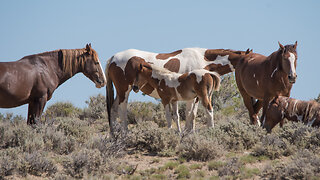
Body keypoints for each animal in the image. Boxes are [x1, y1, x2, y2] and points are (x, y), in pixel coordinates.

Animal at [106, 47, 251, 134]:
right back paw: (125, 132)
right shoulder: (191, 97)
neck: (202, 60)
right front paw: (186, 131)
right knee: (122, 109)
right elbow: (188, 113)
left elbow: (191, 114)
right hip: (124, 90)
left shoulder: (195, 97)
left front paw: (189, 131)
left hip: (120, 92)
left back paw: (114, 133)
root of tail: (113, 58)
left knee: (113, 109)